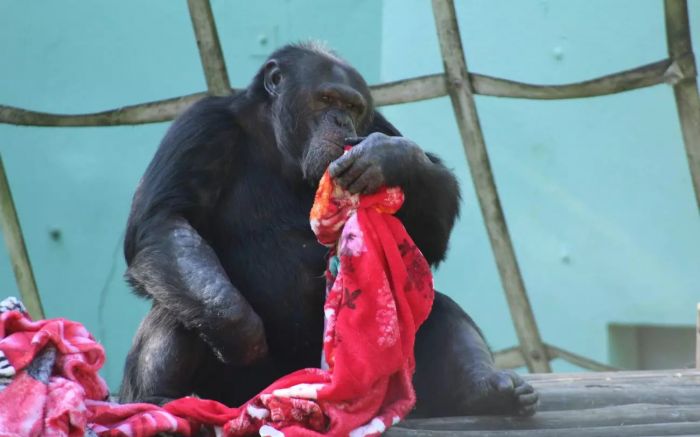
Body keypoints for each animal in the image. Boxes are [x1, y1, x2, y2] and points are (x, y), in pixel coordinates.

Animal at [119, 41, 536, 416]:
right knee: (178, 298)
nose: (341, 121)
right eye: (326, 99)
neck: (279, 144)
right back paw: (158, 400)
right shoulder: (201, 127)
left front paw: (390, 157)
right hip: (238, 389)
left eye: (352, 107)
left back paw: (490, 389)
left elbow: (428, 239)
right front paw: (238, 330)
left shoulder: (376, 124)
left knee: (430, 304)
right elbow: (164, 220)